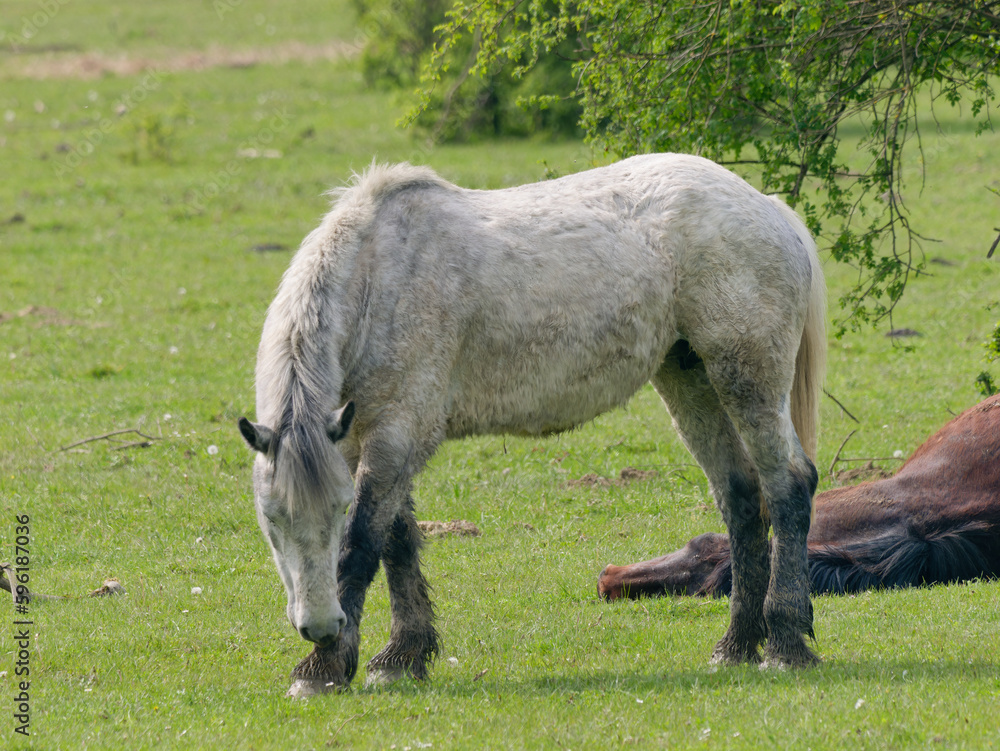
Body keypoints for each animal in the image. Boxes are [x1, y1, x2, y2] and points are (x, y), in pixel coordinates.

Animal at [238, 154, 827, 694]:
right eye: (270, 520)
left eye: (334, 513)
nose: (319, 626)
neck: (377, 281)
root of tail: (767, 206)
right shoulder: (363, 441)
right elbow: (396, 542)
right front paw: (401, 657)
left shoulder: (396, 436)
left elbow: (360, 548)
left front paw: (324, 668)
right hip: (689, 378)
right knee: (742, 498)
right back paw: (736, 646)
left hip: (746, 380)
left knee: (789, 486)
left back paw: (785, 643)